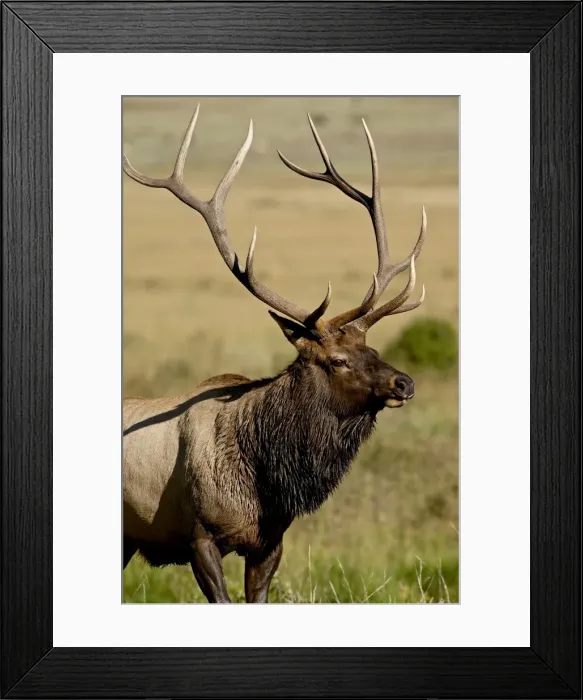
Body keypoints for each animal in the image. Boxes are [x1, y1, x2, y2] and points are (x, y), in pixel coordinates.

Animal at [122, 105, 427, 603]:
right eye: (337, 359)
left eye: (373, 347)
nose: (404, 382)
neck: (264, 479)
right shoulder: (199, 537)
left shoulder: (270, 542)